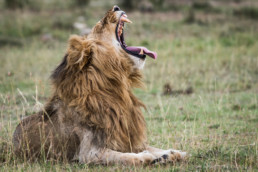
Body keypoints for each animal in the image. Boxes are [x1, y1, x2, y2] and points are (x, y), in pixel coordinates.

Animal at [13, 5, 185, 165]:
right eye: (101, 25)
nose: (116, 7)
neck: (115, 87)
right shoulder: (88, 152)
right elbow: (125, 156)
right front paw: (146, 157)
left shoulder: (126, 137)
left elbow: (150, 147)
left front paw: (171, 153)